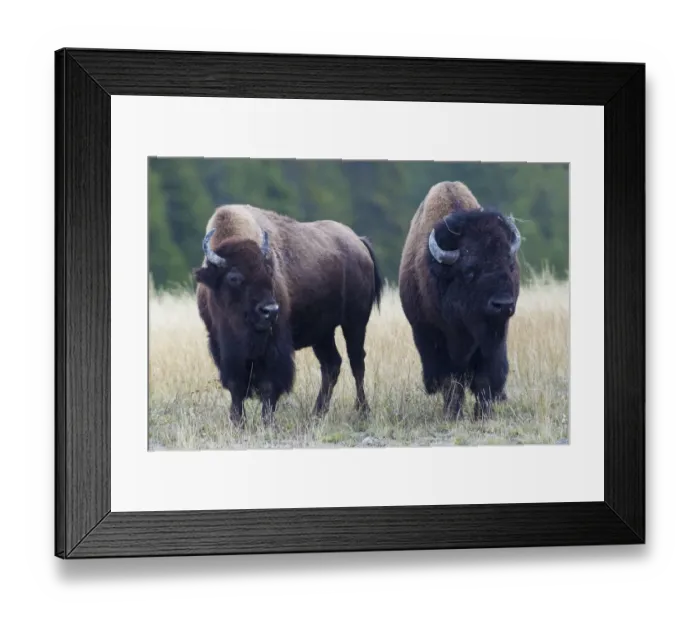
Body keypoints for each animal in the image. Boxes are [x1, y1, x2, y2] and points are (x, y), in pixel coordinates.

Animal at [193, 204, 383, 426]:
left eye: (270, 272)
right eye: (234, 277)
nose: (270, 311)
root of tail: (358, 243)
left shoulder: (275, 345)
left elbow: (270, 385)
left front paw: (267, 422)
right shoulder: (222, 346)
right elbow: (235, 385)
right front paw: (238, 421)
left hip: (355, 322)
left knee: (357, 362)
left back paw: (363, 412)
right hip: (323, 333)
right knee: (331, 365)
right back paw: (317, 414)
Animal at [398, 181, 522, 421]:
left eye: (510, 265)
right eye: (469, 270)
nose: (502, 304)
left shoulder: (492, 341)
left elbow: (485, 378)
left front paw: (483, 415)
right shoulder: (435, 338)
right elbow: (450, 380)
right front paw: (453, 414)